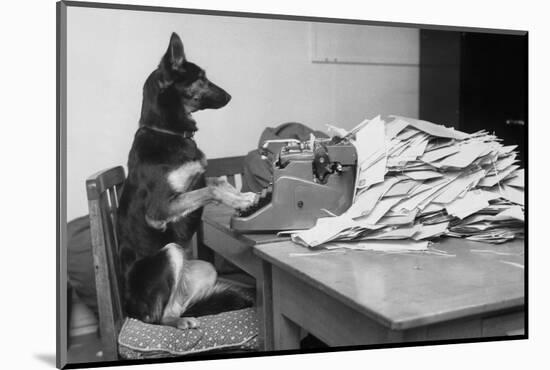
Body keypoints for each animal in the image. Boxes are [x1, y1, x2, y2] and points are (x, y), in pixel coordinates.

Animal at [117, 33, 258, 330]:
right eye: (201, 78)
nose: (230, 96)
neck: (167, 131)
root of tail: (129, 308)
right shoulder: (158, 212)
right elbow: (213, 187)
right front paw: (240, 200)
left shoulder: (192, 187)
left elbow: (216, 181)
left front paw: (242, 198)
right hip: (170, 253)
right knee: (160, 316)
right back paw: (180, 321)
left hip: (205, 268)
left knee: (178, 303)